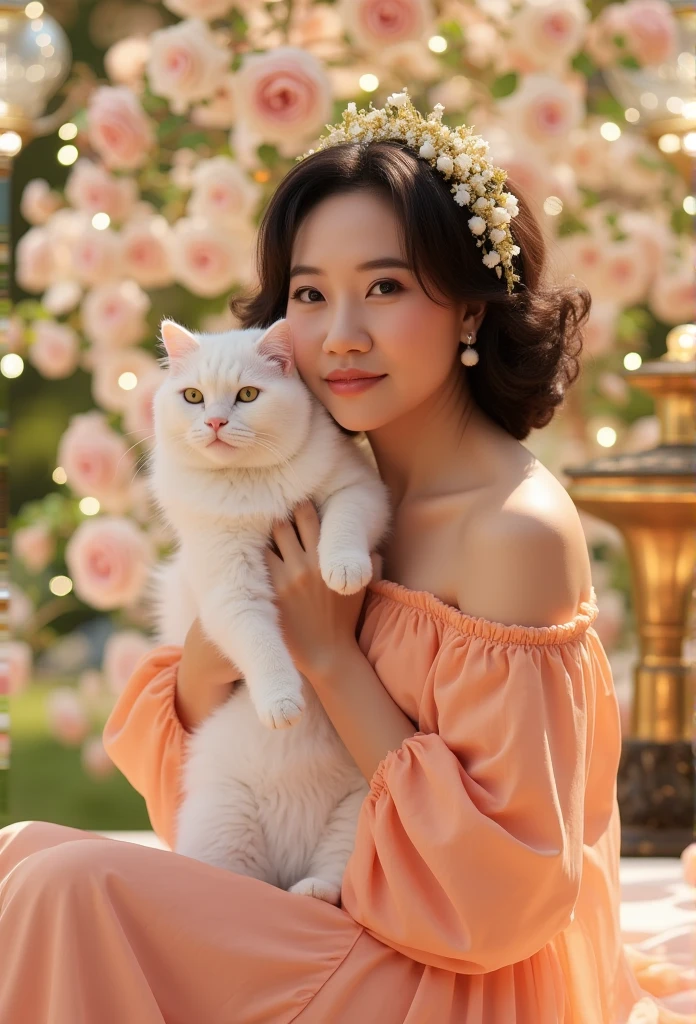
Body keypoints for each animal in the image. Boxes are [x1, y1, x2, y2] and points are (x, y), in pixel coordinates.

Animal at [148, 315, 390, 901]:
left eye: (247, 395)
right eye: (193, 397)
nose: (214, 421)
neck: (250, 489)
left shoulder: (359, 489)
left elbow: (343, 525)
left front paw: (343, 571)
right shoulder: (229, 584)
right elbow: (259, 641)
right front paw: (282, 704)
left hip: (356, 812)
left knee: (335, 876)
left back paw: (312, 891)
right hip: (222, 821)